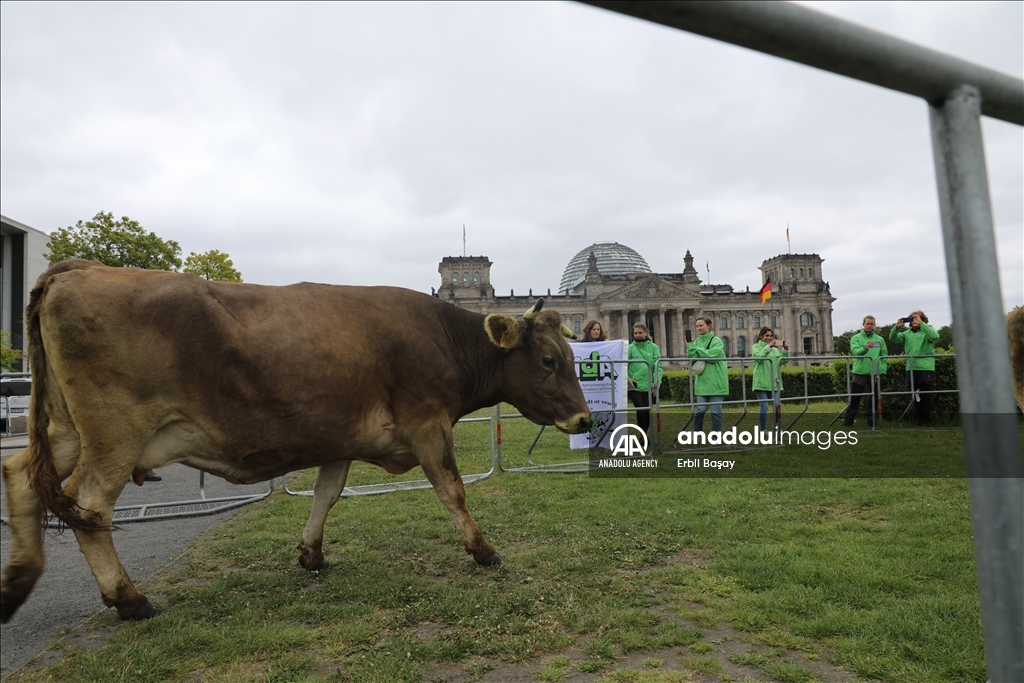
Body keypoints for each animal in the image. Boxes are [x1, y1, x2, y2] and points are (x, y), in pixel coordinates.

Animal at [2, 262, 593, 626]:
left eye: (572, 356)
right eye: (548, 360)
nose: (585, 417)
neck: (440, 335)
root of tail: (79, 266)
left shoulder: (340, 435)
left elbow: (326, 495)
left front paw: (312, 554)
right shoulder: (428, 424)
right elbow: (452, 490)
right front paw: (483, 550)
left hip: (65, 431)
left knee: (20, 478)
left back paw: (16, 584)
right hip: (114, 436)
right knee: (89, 509)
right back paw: (129, 598)